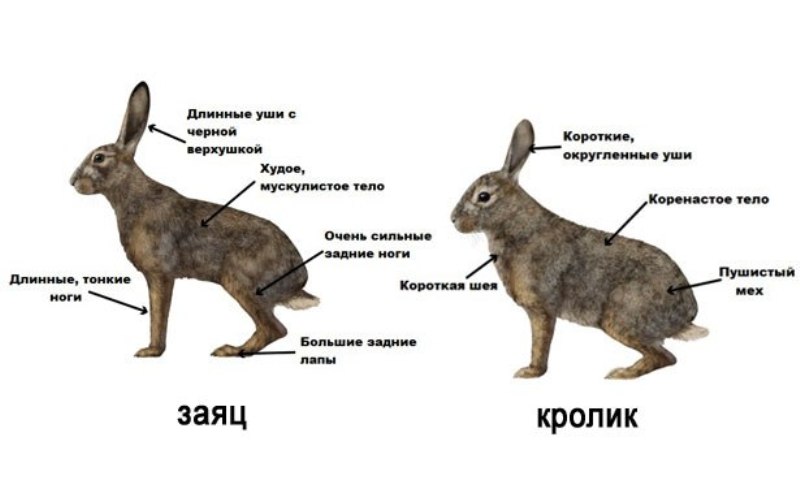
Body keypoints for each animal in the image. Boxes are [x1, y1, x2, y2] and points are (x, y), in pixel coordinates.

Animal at [70, 82, 319, 357]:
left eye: (99, 158)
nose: (72, 182)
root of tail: (298, 280)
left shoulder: (160, 274)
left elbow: (158, 316)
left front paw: (151, 351)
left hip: (240, 281)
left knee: (274, 329)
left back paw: (230, 350)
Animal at [451, 119, 707, 379]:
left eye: (484, 196)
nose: (453, 220)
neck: (514, 223)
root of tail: (687, 312)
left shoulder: (541, 308)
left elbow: (540, 343)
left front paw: (530, 372)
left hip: (620, 317)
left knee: (665, 356)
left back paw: (620, 374)